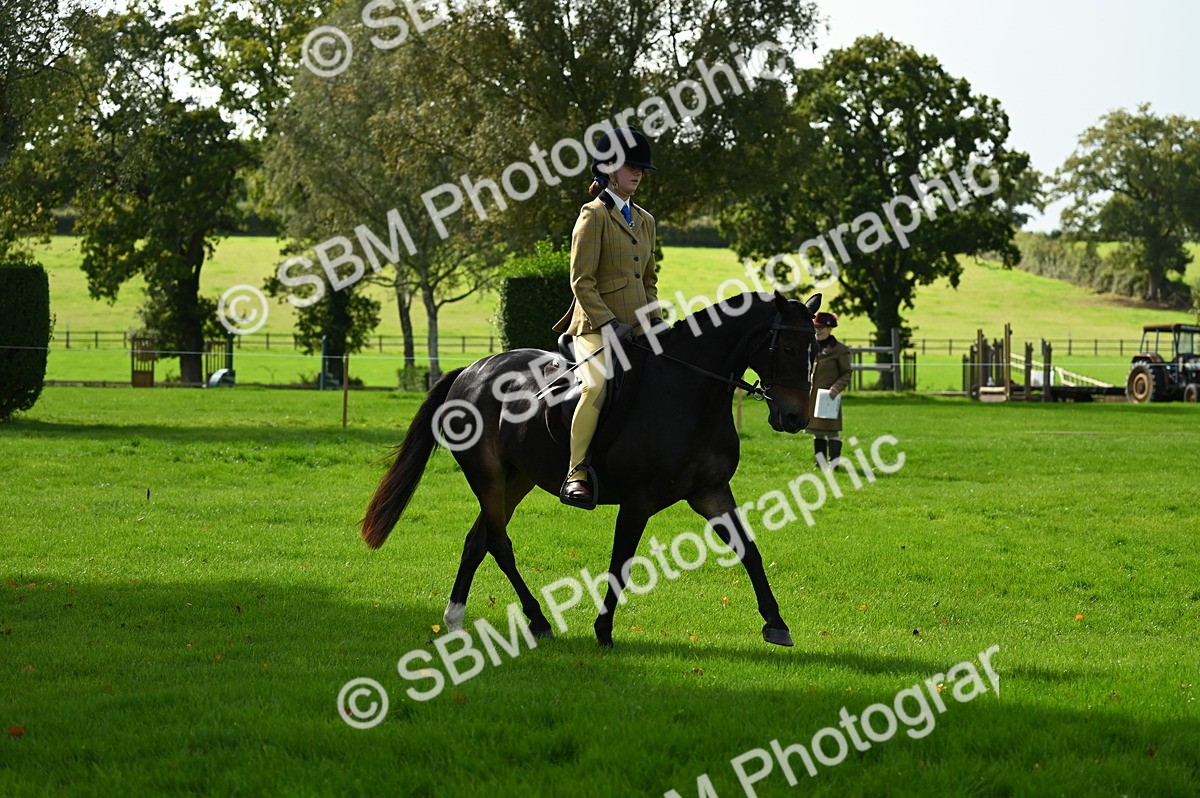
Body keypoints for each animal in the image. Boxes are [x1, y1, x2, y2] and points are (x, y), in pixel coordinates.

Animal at [361, 291, 822, 647]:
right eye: (788, 349)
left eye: (816, 351)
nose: (795, 418)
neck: (689, 393)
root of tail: (471, 370)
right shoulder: (638, 502)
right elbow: (621, 563)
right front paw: (603, 630)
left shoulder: (711, 492)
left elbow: (749, 550)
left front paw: (776, 624)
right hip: (486, 475)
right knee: (498, 542)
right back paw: (538, 620)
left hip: (518, 478)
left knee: (478, 541)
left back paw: (457, 618)